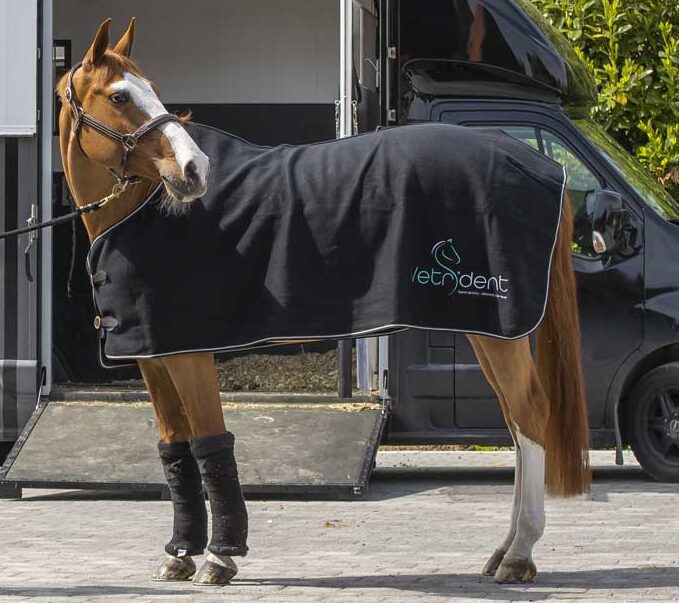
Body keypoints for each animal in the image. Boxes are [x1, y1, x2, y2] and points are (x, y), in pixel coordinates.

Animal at [57, 18, 590, 586]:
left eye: (151, 89)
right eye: (120, 95)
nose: (195, 169)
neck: (146, 212)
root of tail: (543, 168)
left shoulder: (190, 353)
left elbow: (210, 442)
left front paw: (221, 557)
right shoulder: (155, 356)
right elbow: (175, 448)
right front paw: (179, 554)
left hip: (500, 328)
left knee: (530, 414)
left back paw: (520, 554)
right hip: (489, 330)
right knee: (515, 421)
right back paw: (503, 551)